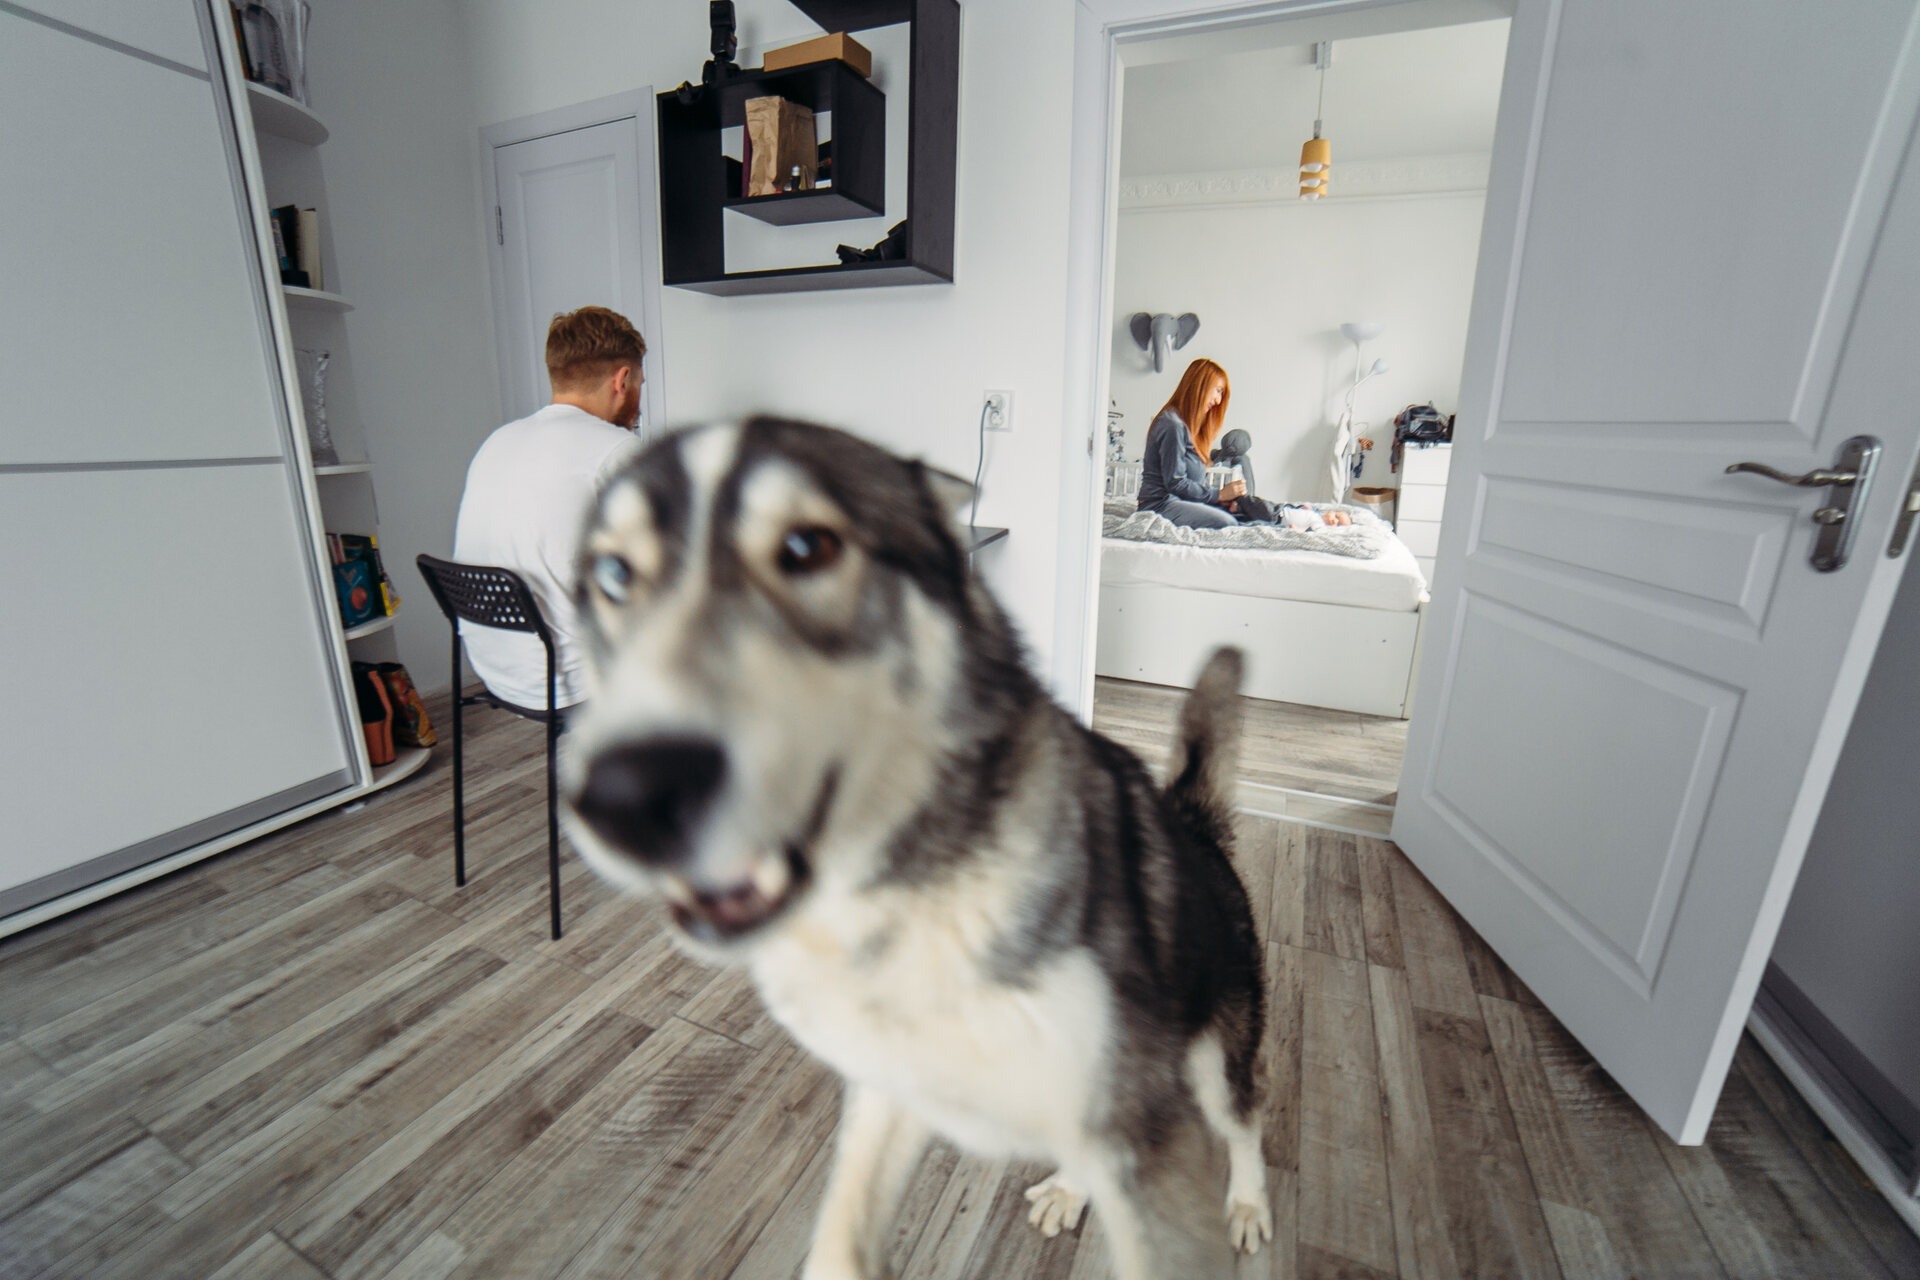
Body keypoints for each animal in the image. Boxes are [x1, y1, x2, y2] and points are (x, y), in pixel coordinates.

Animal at [560, 418, 1267, 1274]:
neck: (900, 905)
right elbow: (841, 1236)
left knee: (1248, 1121)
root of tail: (1190, 820)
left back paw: (1249, 1202)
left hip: (1213, 1061)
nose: (624, 797)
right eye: (612, 573)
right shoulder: (892, 1088)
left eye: (807, 547)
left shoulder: (1148, 1132)